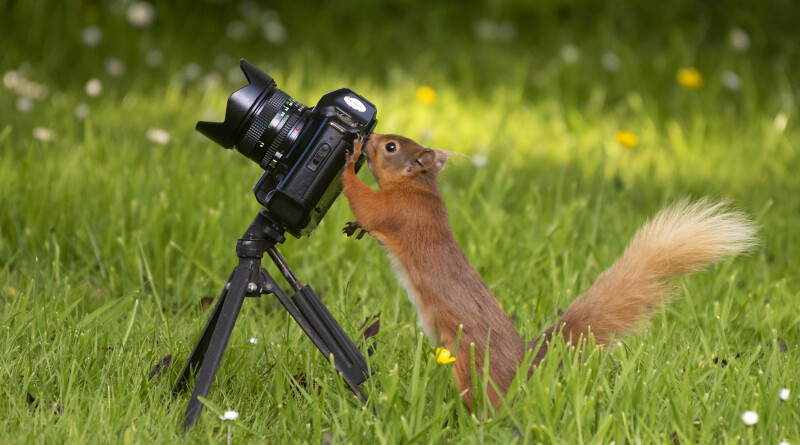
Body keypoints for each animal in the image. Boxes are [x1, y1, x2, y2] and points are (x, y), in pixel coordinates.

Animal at [340, 133, 756, 410]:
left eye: (391, 147)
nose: (371, 136)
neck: (419, 188)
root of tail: (526, 362)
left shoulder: (399, 211)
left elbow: (366, 204)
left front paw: (348, 160)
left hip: (475, 369)